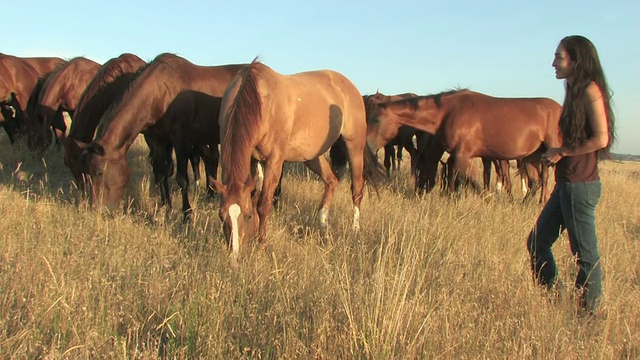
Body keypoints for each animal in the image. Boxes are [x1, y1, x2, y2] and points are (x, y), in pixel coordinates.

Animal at [81, 53, 246, 217]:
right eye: (88, 172)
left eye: (100, 172)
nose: (96, 209)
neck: (161, 92)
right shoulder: (159, 140)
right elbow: (161, 173)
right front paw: (165, 207)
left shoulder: (181, 140)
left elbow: (182, 179)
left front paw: (187, 215)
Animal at [210, 59, 384, 262]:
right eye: (222, 216)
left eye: (245, 216)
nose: (235, 257)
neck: (260, 101)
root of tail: (351, 88)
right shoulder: (252, 160)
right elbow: (252, 198)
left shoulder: (274, 160)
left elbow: (263, 204)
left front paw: (262, 244)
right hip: (312, 156)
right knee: (331, 180)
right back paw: (323, 228)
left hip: (354, 146)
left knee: (357, 189)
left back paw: (354, 230)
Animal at [364, 89, 560, 202]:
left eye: (375, 119)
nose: (419, 193)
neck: (448, 112)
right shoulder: (461, 156)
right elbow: (461, 179)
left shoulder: (463, 155)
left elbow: (463, 180)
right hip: (532, 156)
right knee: (535, 182)